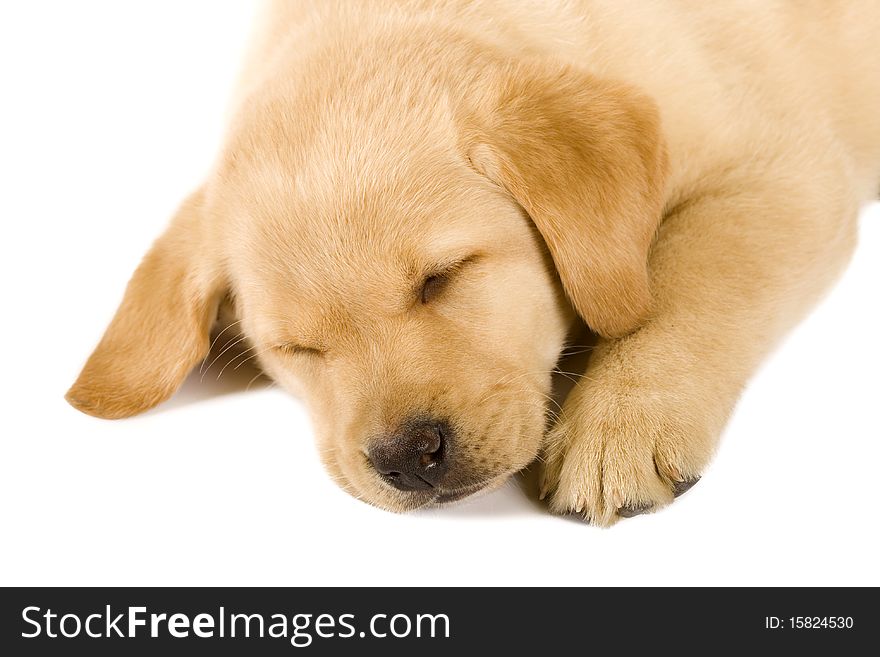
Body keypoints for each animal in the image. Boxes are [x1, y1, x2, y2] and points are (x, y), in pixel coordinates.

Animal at [67, 0, 880, 524]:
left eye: (442, 278)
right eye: (295, 349)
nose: (406, 457)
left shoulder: (787, 174)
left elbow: (691, 282)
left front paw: (619, 423)